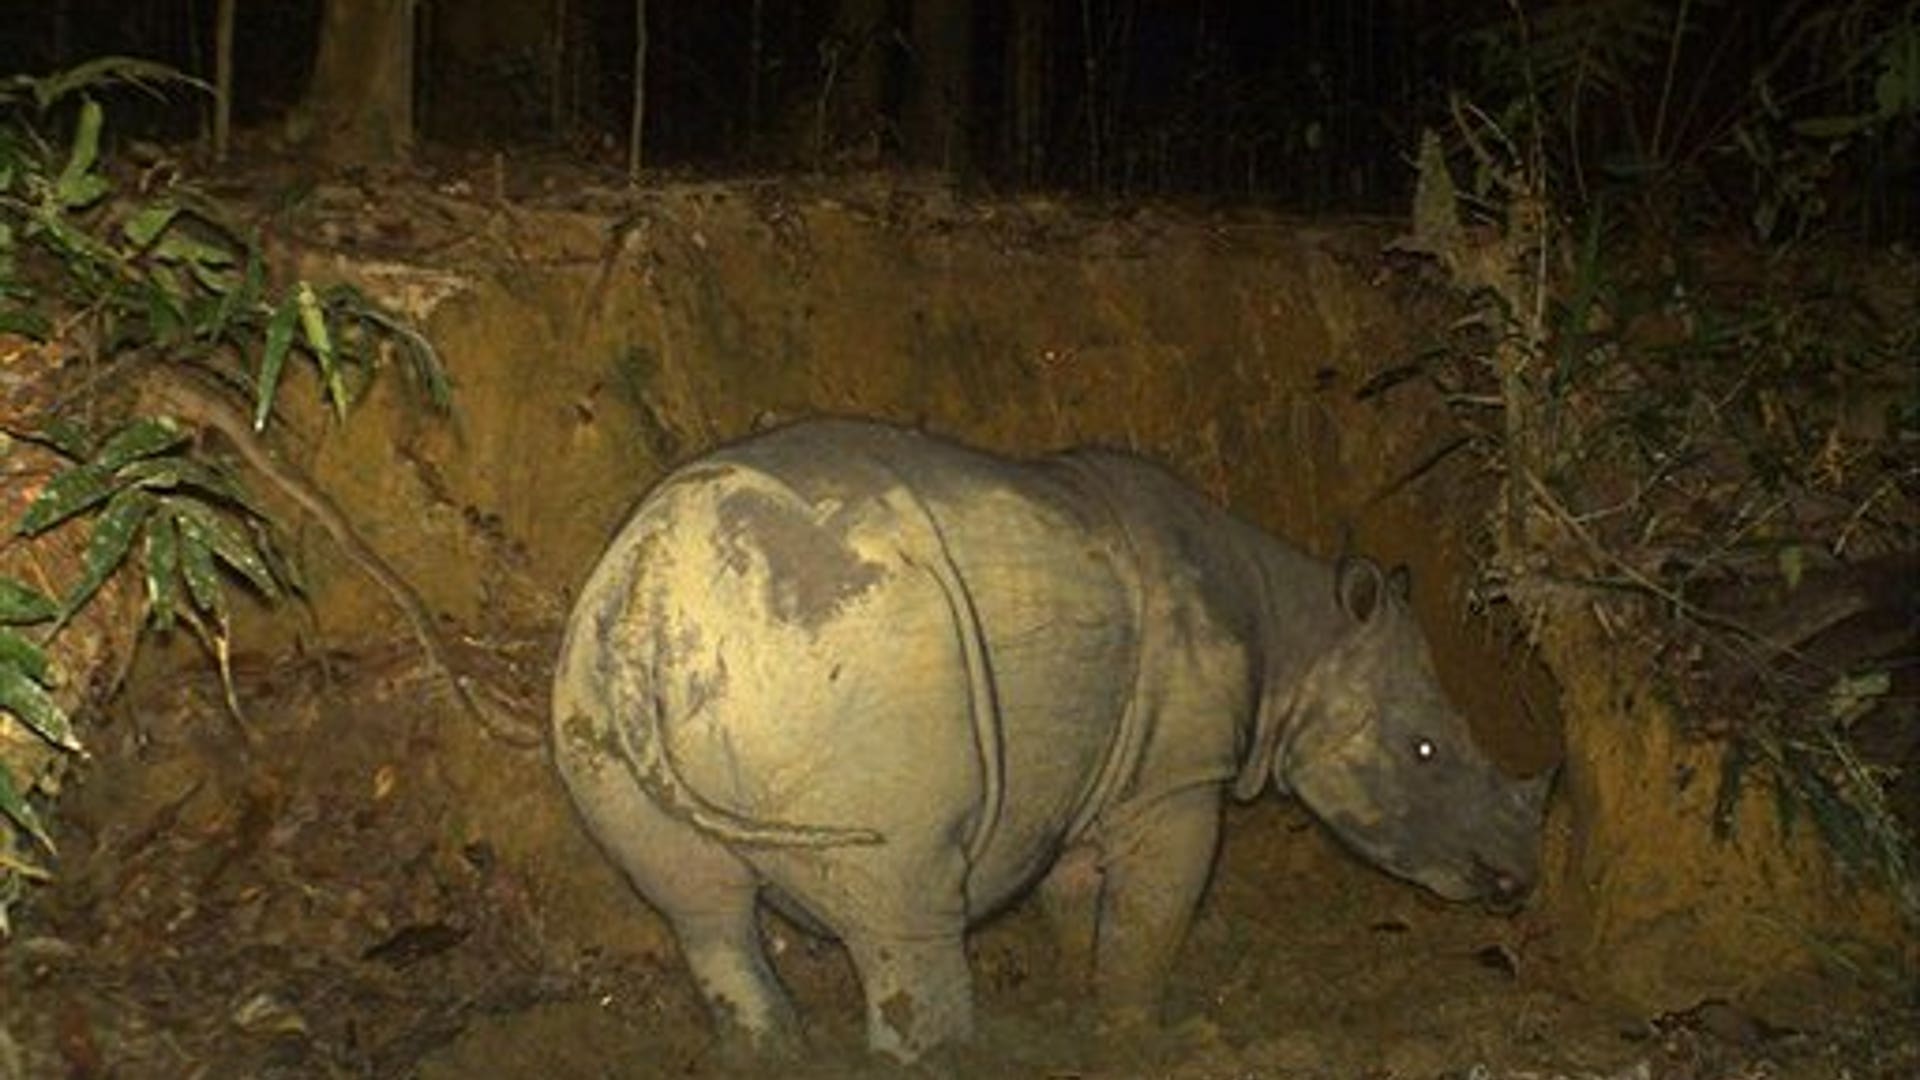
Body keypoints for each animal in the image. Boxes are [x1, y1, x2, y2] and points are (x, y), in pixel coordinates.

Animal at [551, 418, 1548, 1062]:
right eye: (1426, 752)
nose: (1516, 883)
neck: (1302, 637)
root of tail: (654, 582)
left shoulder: (1099, 766)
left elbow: (1076, 892)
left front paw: (1076, 998)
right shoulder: (1177, 776)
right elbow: (1155, 909)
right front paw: (1139, 1033)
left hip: (603, 671)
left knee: (698, 904)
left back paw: (772, 1051)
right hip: (850, 657)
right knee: (903, 897)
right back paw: (948, 1055)